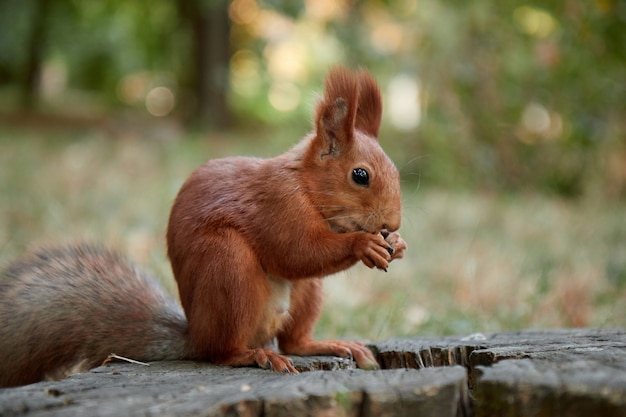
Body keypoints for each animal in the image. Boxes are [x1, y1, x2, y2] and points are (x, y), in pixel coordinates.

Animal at [0, 66, 404, 386]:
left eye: (396, 170)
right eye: (360, 175)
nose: (392, 222)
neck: (304, 183)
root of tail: (195, 333)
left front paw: (397, 244)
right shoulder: (276, 205)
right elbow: (296, 252)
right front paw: (362, 244)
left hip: (304, 293)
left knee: (293, 340)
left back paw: (329, 344)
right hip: (228, 268)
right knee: (222, 351)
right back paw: (254, 355)